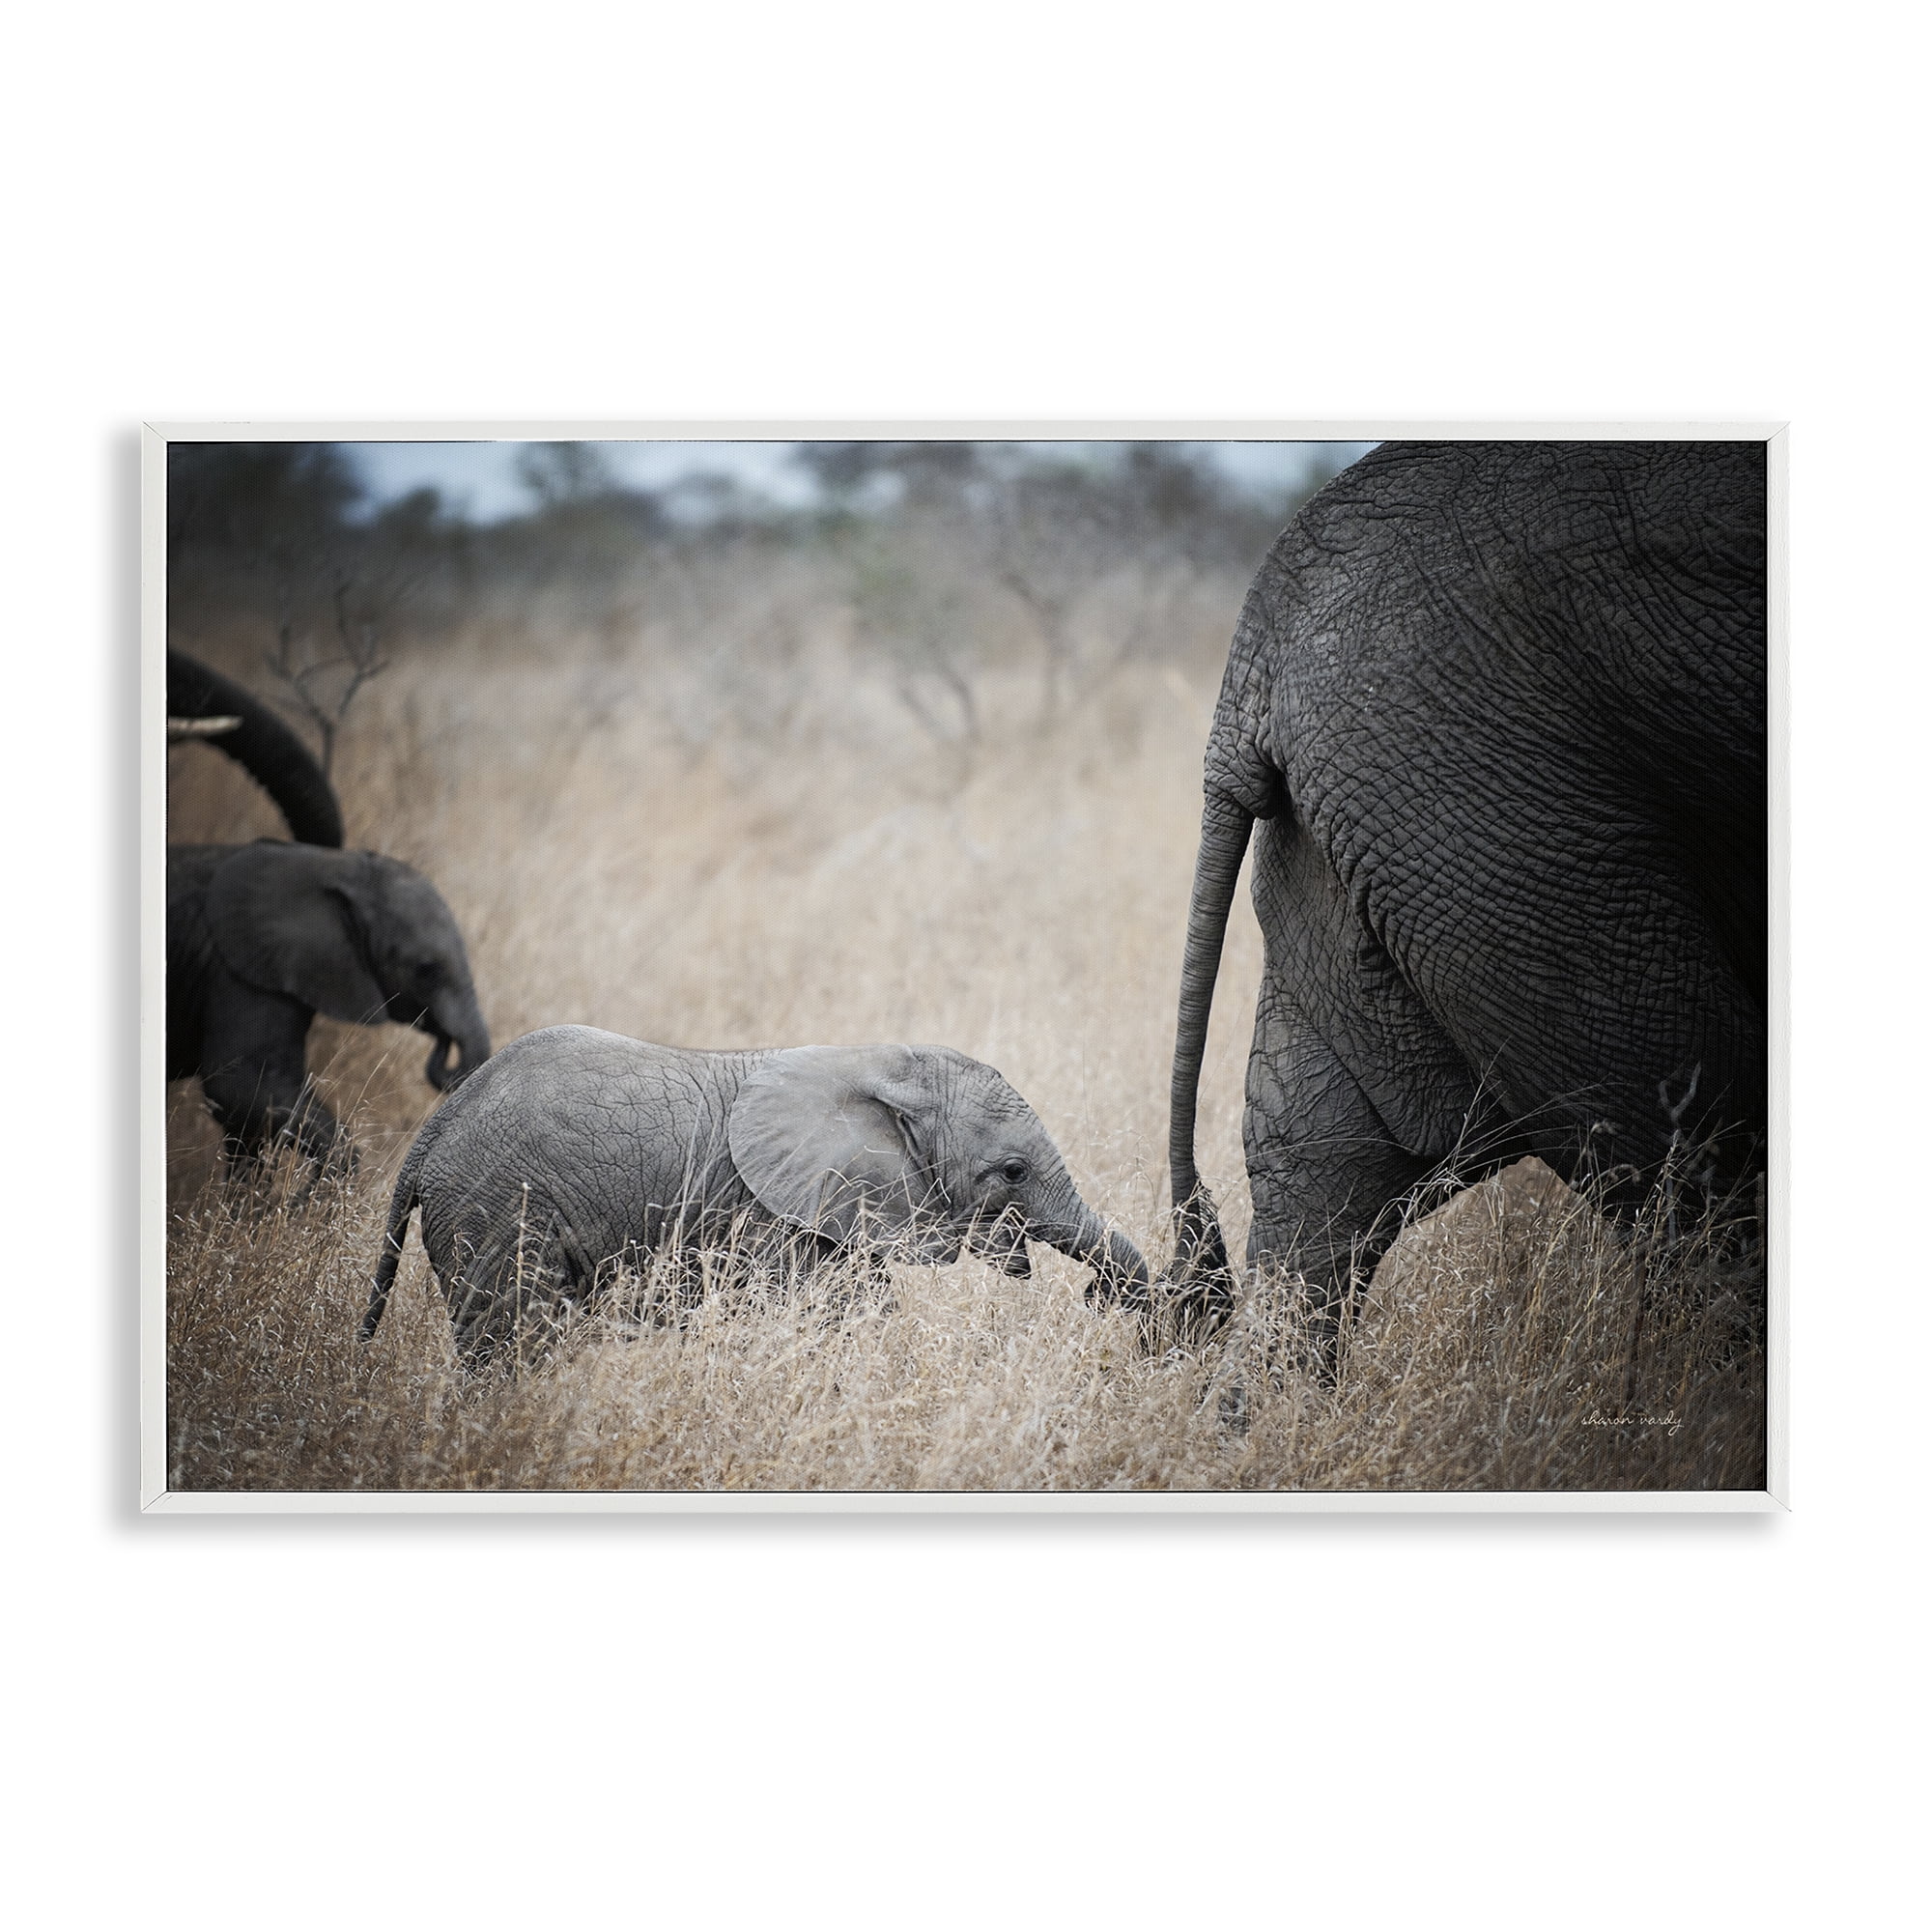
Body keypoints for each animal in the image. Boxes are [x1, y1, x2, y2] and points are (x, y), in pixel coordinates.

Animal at [361, 1026, 1151, 1361]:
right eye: (1013, 1172)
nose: (1102, 1299)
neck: (882, 1063)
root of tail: (434, 1129)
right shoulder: (768, 1216)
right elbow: (840, 1321)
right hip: (497, 1206)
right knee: (513, 1337)